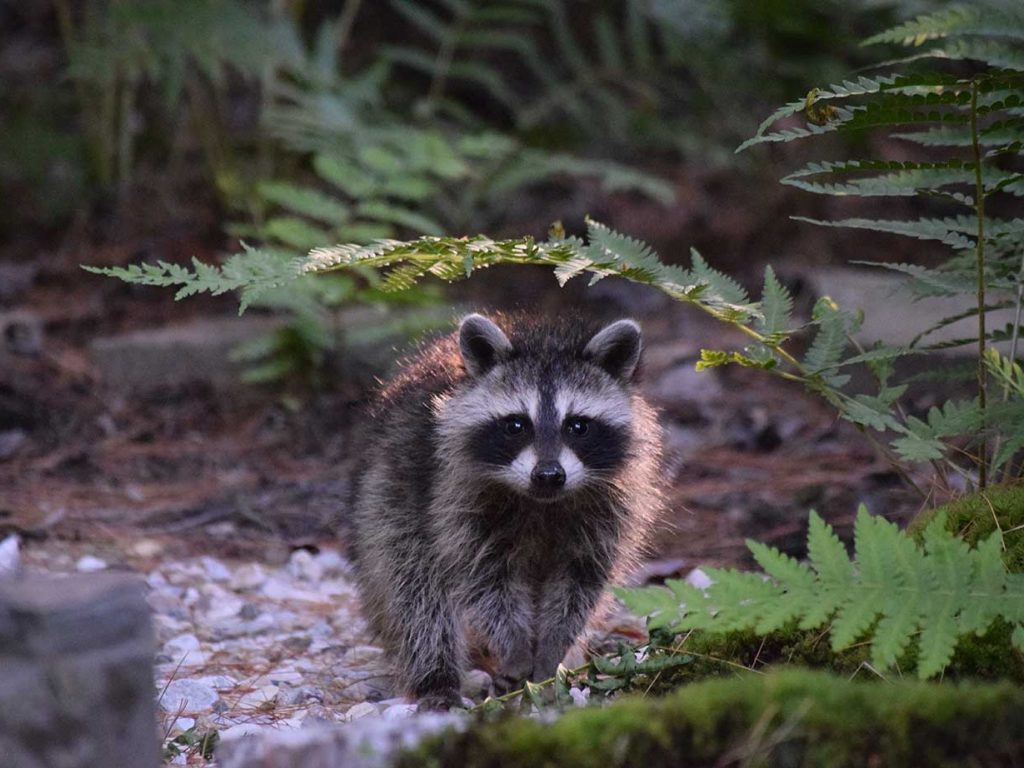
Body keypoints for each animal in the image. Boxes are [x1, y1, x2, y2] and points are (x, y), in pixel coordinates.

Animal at [348, 311, 663, 708]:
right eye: (516, 424)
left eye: (578, 426)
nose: (548, 475)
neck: (542, 502)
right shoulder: (453, 492)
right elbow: (482, 576)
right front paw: (514, 646)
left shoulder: (613, 504)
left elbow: (581, 579)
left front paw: (553, 646)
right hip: (389, 495)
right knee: (416, 591)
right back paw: (437, 676)